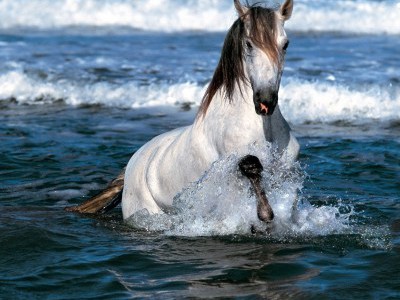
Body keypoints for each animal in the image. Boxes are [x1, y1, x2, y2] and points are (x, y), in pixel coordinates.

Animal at [65, 0, 298, 225]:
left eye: (285, 44)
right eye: (249, 43)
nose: (265, 101)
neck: (262, 128)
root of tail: (132, 163)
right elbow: (251, 167)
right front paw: (265, 214)